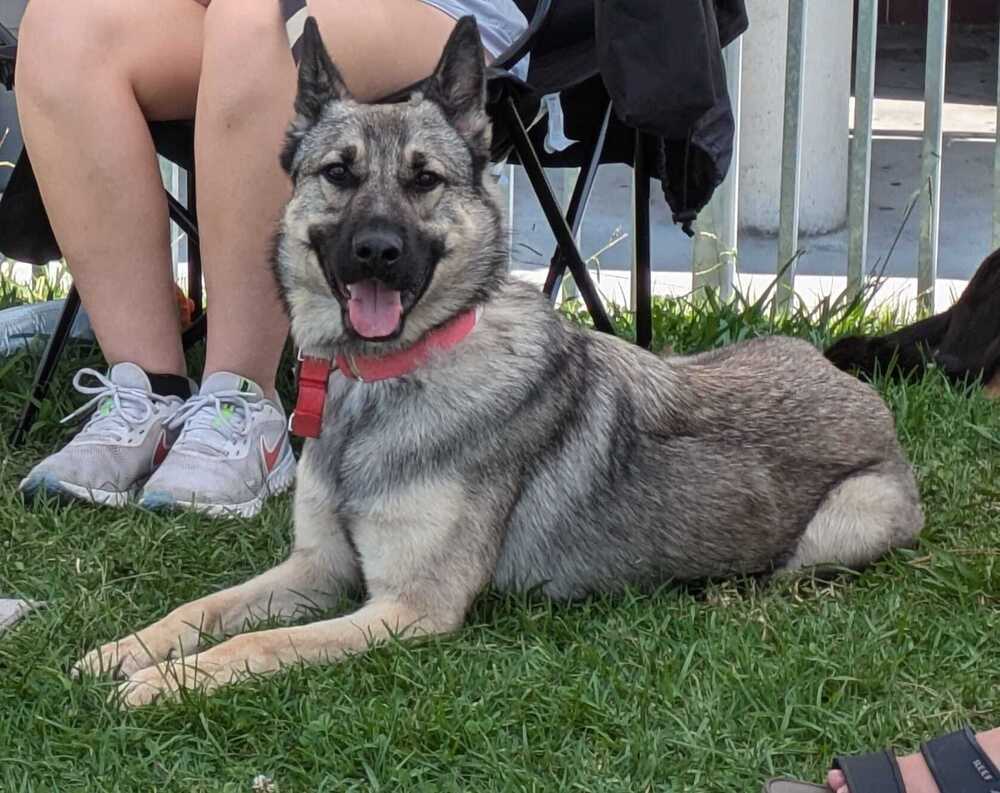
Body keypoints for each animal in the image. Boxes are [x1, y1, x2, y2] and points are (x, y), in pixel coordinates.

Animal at [74, 17, 924, 704]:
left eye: (424, 179)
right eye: (338, 174)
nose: (376, 252)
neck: (389, 380)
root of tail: (863, 395)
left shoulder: (405, 609)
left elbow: (257, 642)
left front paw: (167, 681)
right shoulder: (316, 570)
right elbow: (205, 607)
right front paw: (129, 649)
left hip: (842, 525)